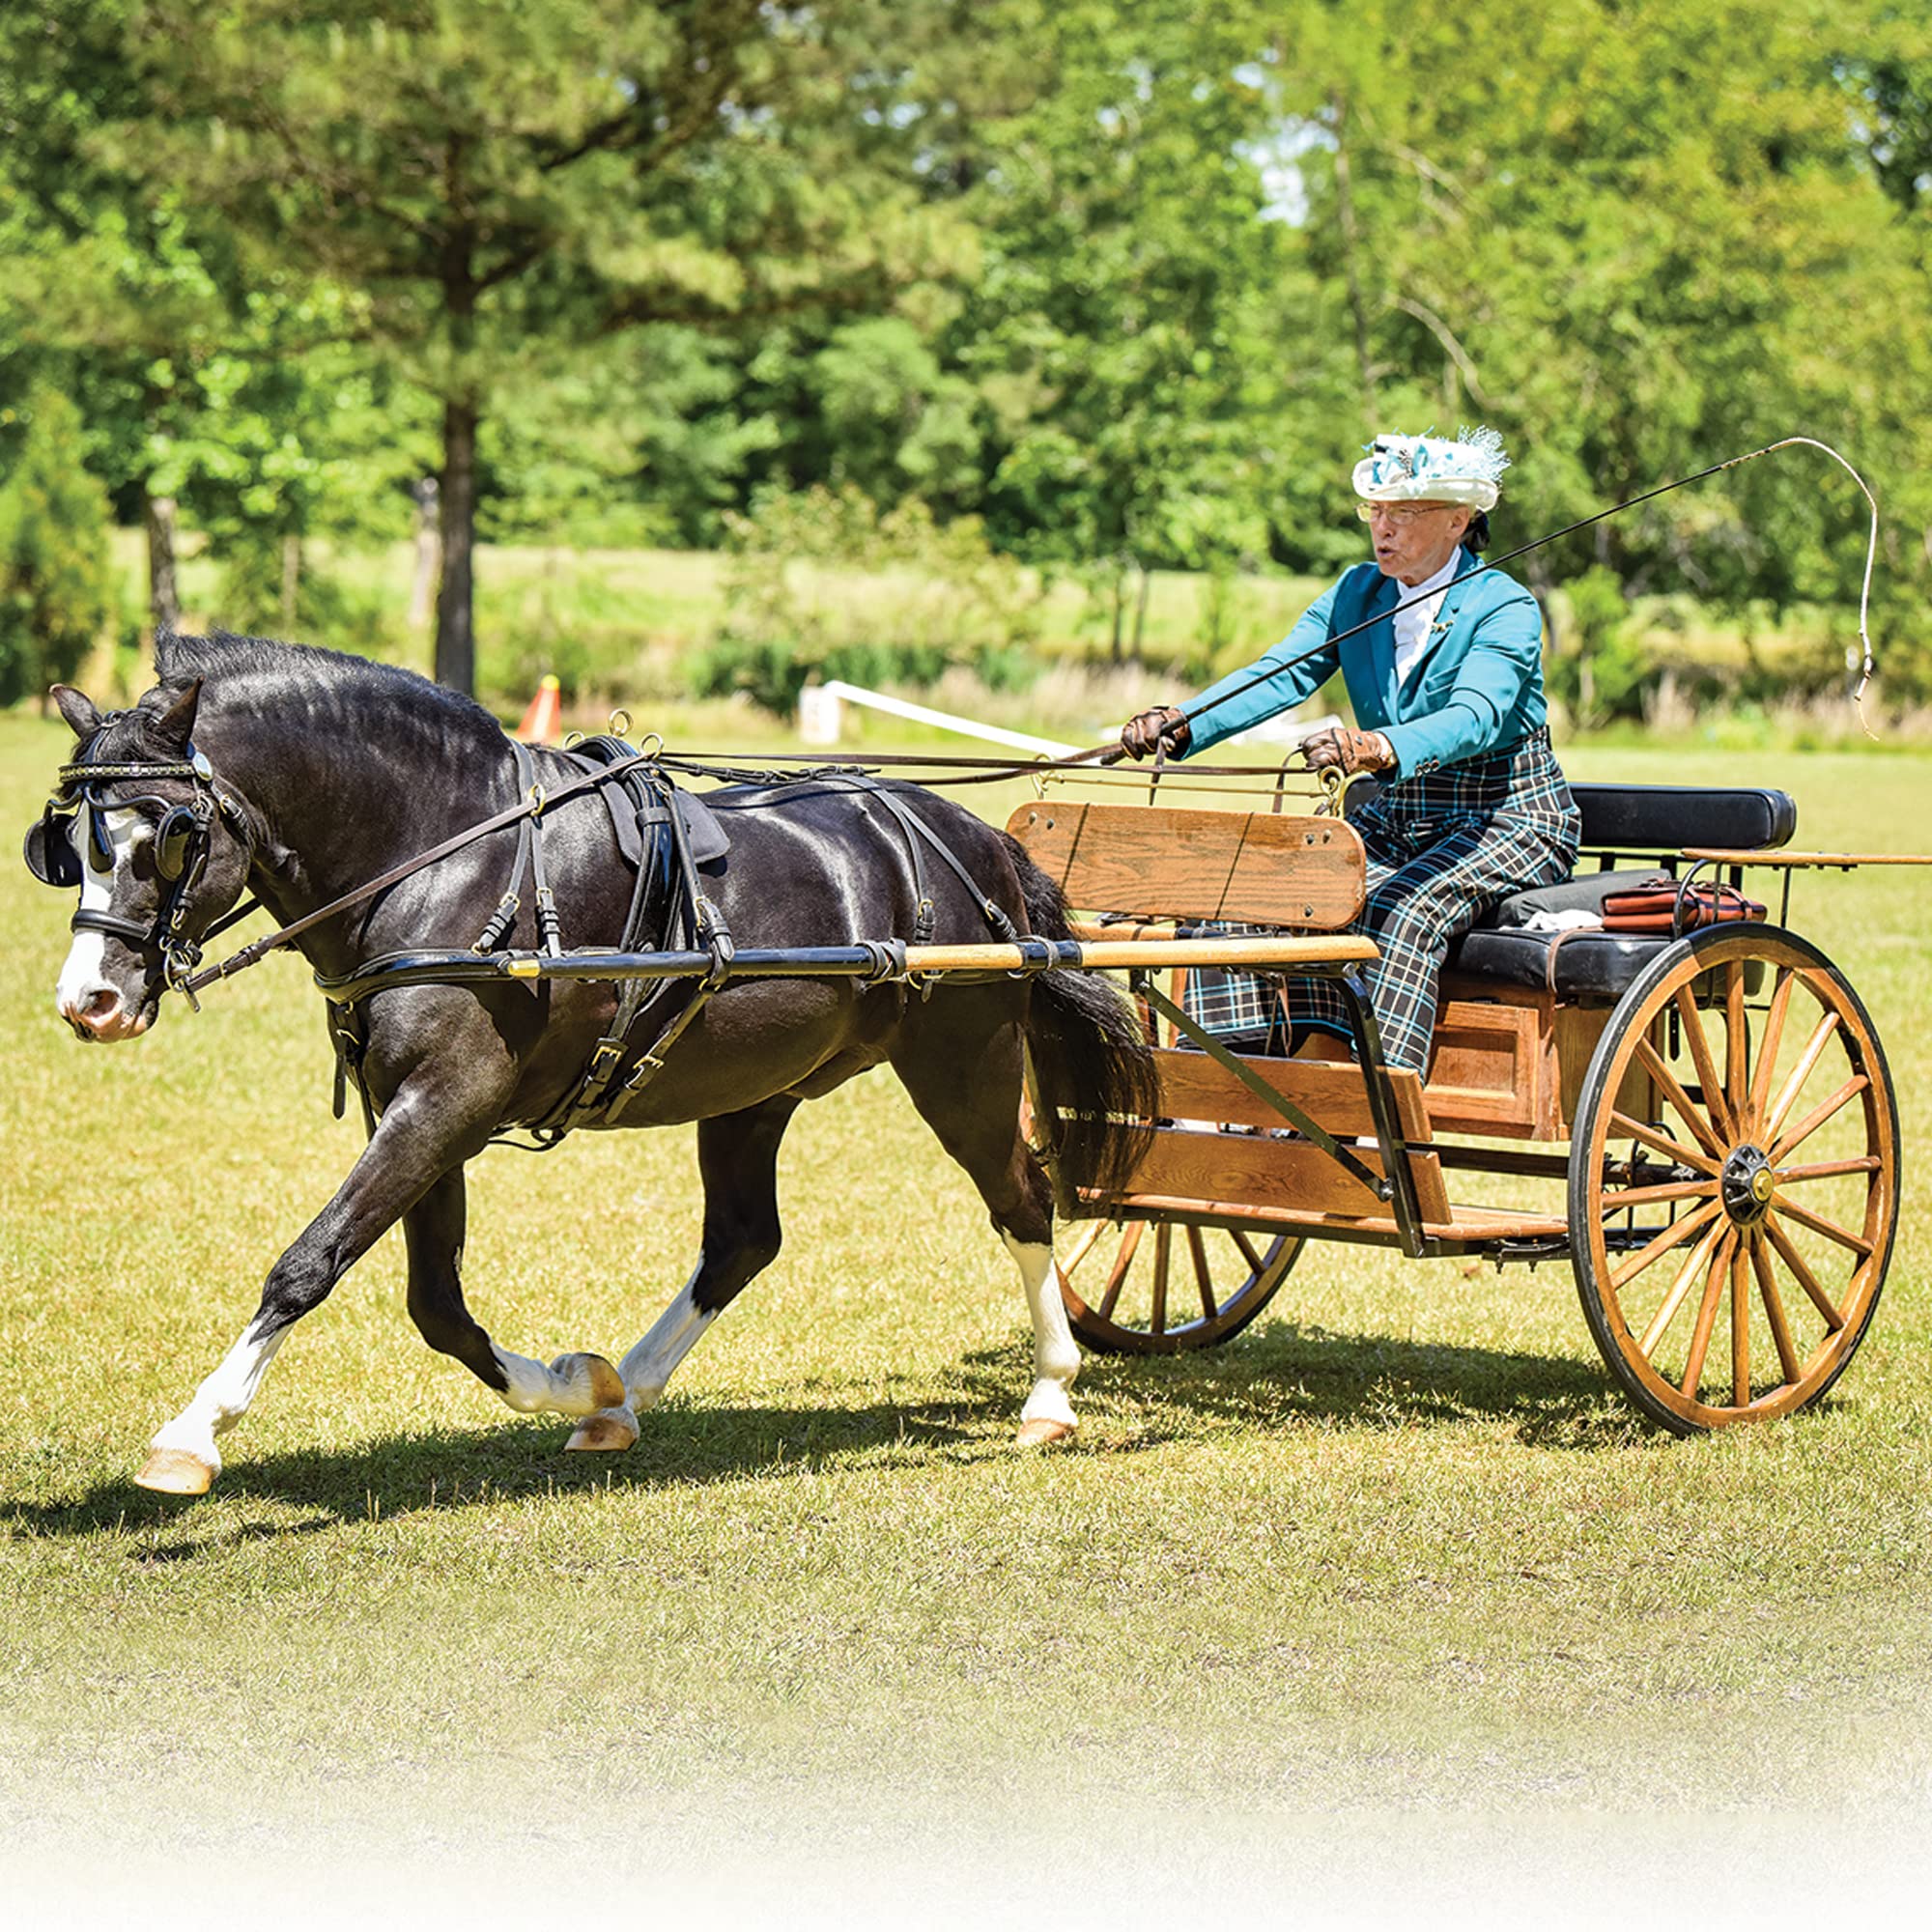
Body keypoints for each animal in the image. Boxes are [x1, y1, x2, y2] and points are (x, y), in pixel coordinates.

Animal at [29, 633, 1156, 1495]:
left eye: (166, 836)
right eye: (66, 843)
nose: (89, 1003)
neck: (446, 853)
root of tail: (972, 832)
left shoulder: (446, 1101)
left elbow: (311, 1260)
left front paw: (192, 1434)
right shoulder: (421, 1110)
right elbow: (436, 1305)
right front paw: (580, 1383)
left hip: (964, 1063)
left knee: (1022, 1201)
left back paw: (1051, 1391)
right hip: (755, 1088)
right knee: (742, 1241)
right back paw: (627, 1398)